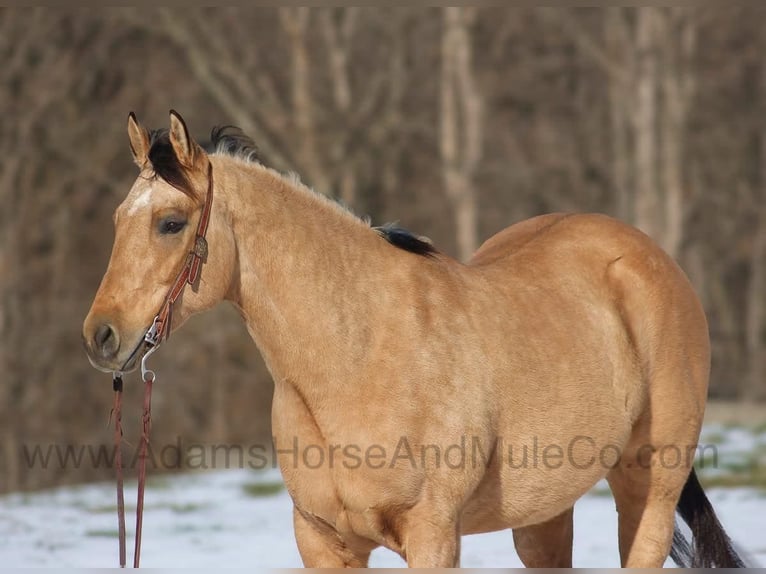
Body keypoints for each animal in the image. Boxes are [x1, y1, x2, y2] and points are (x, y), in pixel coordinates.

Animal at [83, 111, 744, 568]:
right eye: (117, 220)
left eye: (170, 224)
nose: (101, 337)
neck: (358, 355)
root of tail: (648, 258)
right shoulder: (323, 540)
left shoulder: (432, 535)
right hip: (545, 513)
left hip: (648, 491)